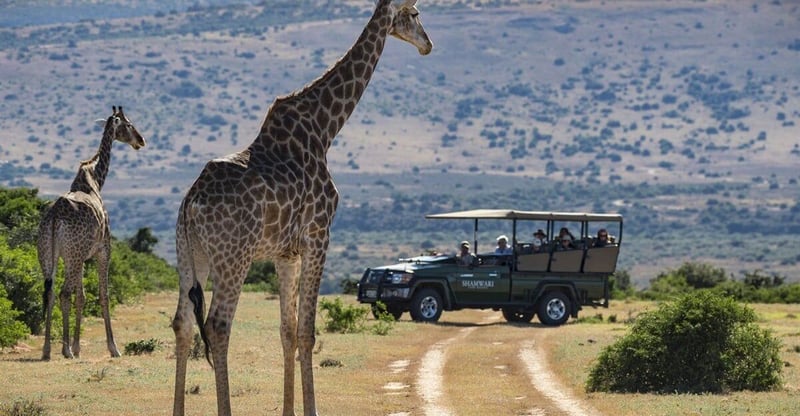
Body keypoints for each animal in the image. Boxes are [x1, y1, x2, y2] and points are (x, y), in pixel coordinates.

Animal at [38, 106, 145, 360]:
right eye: (128, 124)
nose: (141, 141)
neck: (94, 180)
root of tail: (55, 216)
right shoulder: (103, 250)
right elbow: (103, 296)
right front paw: (113, 348)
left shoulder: (82, 257)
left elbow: (82, 296)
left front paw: (77, 346)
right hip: (73, 256)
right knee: (63, 293)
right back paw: (65, 350)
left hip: (49, 255)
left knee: (50, 293)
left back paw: (47, 350)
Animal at [171, 1, 432, 415]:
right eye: (415, 12)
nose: (428, 45)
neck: (325, 129)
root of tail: (190, 204)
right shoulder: (318, 236)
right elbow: (307, 332)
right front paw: (311, 408)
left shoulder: (285, 253)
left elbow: (288, 332)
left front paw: (290, 408)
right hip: (233, 256)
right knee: (217, 325)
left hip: (190, 254)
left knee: (182, 322)